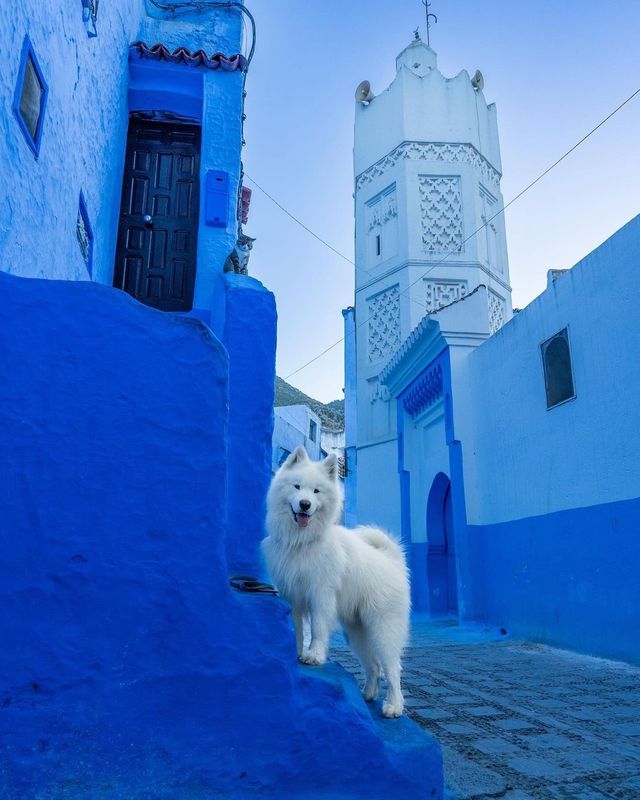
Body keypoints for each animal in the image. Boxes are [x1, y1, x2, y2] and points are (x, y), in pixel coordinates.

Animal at [264, 446, 410, 716]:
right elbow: (297, 629)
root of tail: (392, 559)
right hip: (357, 631)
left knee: (392, 668)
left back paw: (393, 706)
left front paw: (314, 656)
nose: (305, 504)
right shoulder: (292, 596)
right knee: (373, 666)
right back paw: (368, 694)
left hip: (382, 629)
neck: (302, 542)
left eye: (316, 491)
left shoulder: (320, 595)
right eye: (297, 486)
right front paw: (296, 652)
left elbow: (318, 628)